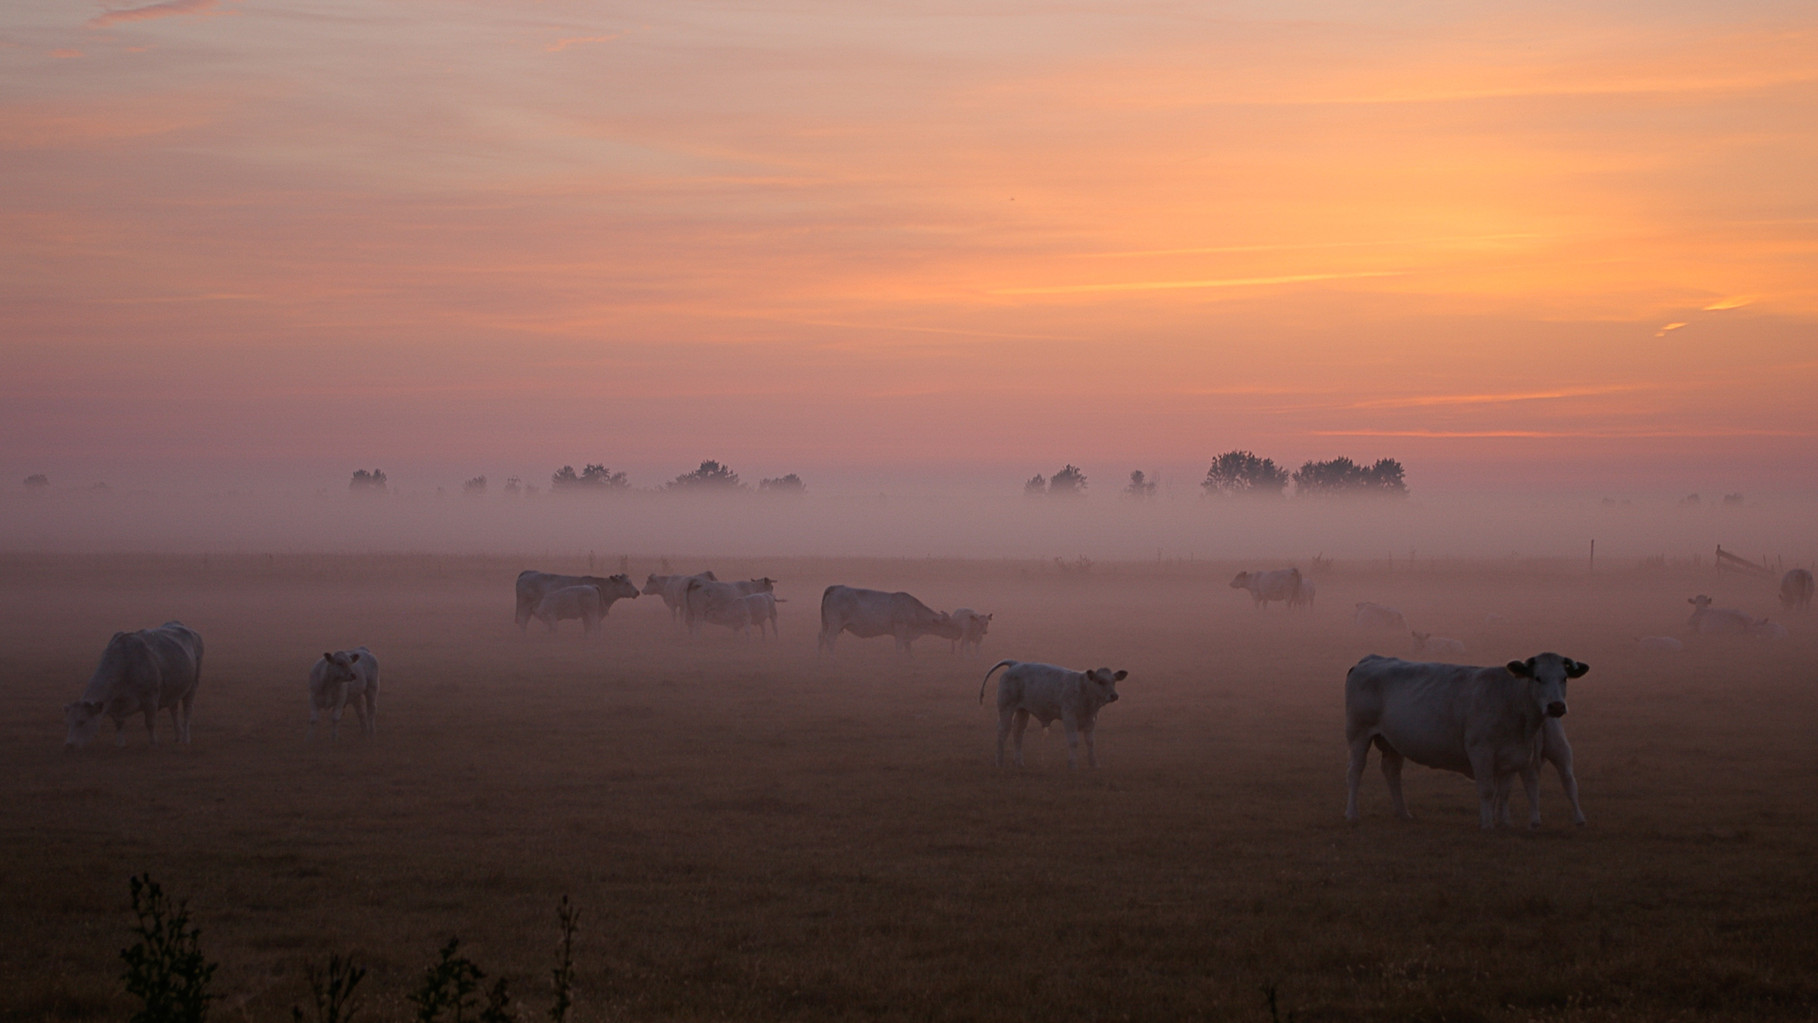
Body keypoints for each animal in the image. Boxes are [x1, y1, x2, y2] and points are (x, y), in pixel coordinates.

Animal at [64, 621, 204, 748]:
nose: (69, 744)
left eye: (82, 721)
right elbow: (119, 723)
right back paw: (177, 737)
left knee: (187, 712)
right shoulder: (115, 704)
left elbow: (150, 722)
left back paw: (185, 738)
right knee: (173, 710)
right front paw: (120, 743)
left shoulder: (151, 699)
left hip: (193, 686)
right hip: (174, 690)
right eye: (68, 722)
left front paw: (153, 742)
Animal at [821, 585, 967, 657]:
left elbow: (908, 648)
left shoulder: (907, 633)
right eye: (950, 624)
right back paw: (832, 658)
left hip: (827, 624)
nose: (960, 633)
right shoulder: (900, 628)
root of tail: (836, 588)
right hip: (835, 624)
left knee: (820, 638)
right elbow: (899, 646)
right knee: (829, 639)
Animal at [981, 665, 1119, 770]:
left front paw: (1094, 764)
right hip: (1006, 708)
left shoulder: (1091, 719)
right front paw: (1073, 764)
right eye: (1100, 681)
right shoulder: (1069, 717)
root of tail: (1014, 664)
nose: (1114, 695)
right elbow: (1074, 741)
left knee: (1018, 733)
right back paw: (999, 762)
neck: (1084, 689)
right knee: (1002, 732)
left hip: (1023, 711)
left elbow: (1090, 742)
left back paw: (1019, 762)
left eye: (1114, 681)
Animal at [1338, 657, 1592, 832]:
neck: (1511, 699)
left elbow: (1506, 790)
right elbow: (1488, 790)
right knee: (1354, 771)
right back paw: (1351, 814)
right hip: (1358, 733)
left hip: (1393, 741)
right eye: (1537, 677)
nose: (1556, 706)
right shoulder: (1481, 751)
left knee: (1391, 771)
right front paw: (1487, 824)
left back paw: (1403, 813)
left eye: (1564, 677)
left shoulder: (1514, 756)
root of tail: (1370, 660)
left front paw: (1505, 821)